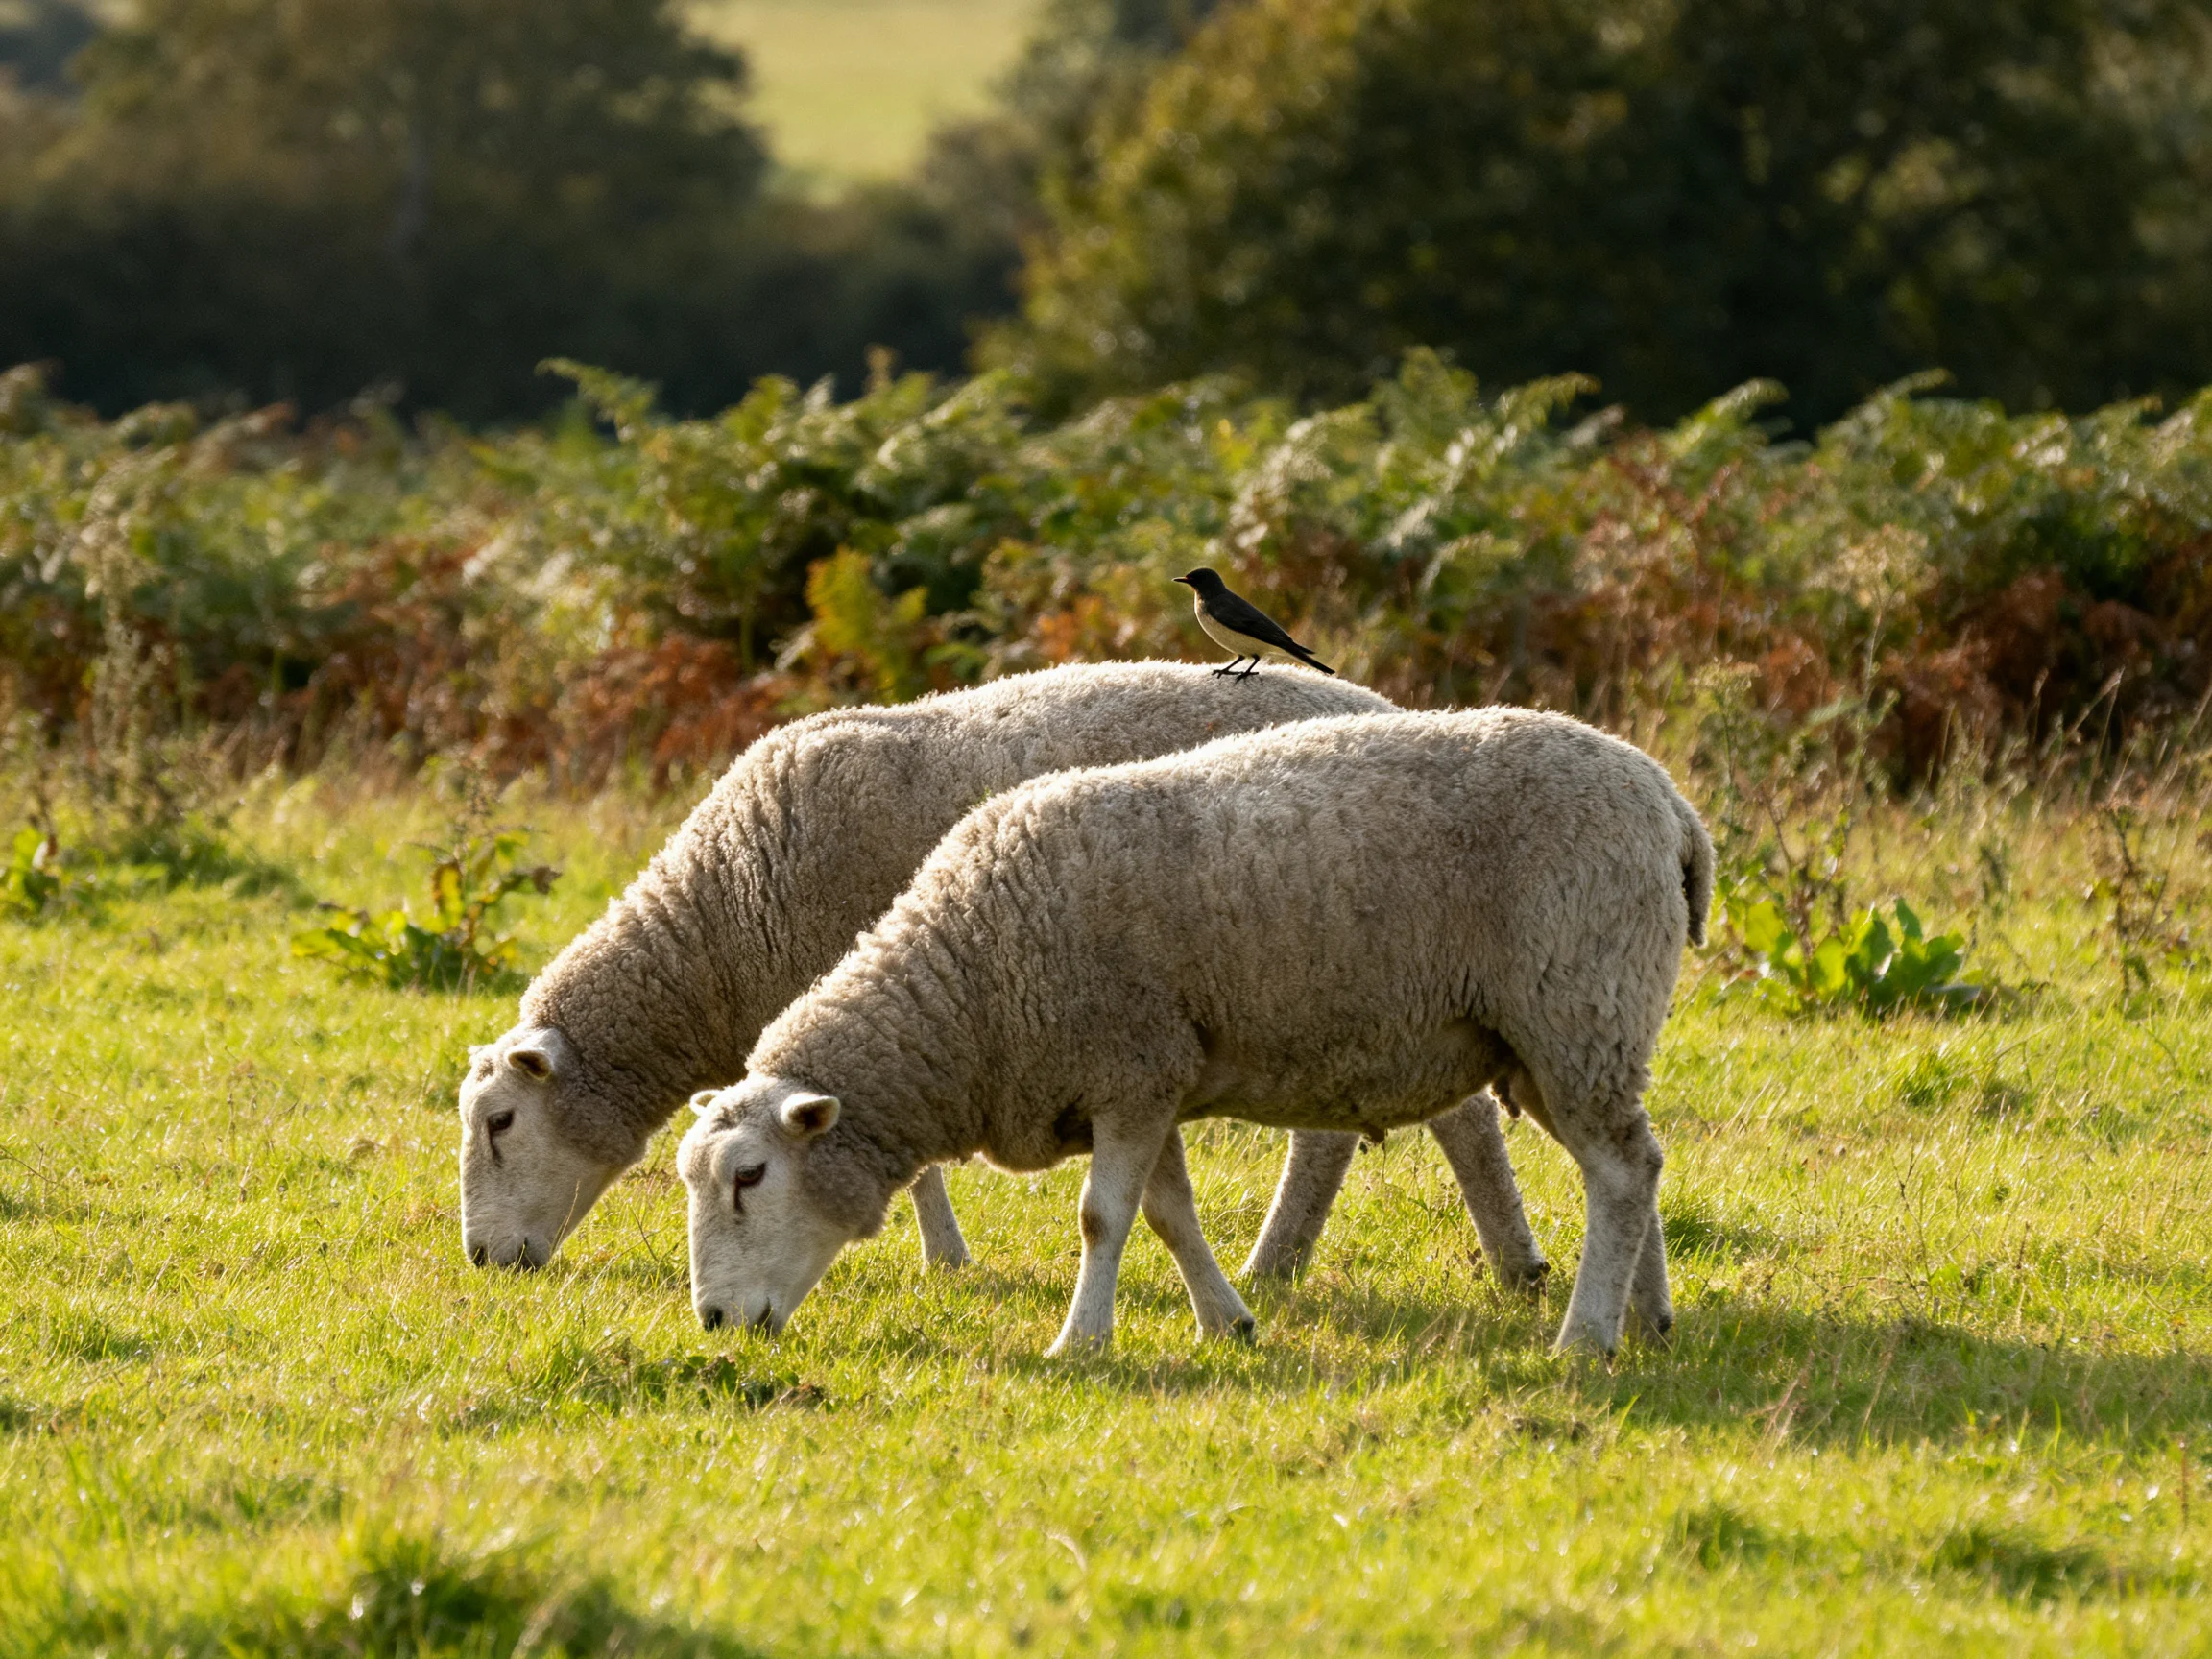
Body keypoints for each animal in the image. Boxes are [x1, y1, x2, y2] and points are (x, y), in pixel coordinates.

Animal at [458, 658, 1520, 1270]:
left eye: (501, 1121)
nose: (483, 1260)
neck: (721, 924)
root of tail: (1378, 700)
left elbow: (916, 1166)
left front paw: (944, 1259)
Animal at [680, 707, 1712, 1357]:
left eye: (749, 1177)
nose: (715, 1323)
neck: (971, 983)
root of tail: (1669, 803)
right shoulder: (1145, 1078)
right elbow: (1167, 1214)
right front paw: (1228, 1323)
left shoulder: (1130, 1068)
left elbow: (1102, 1218)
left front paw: (1079, 1343)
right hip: (1568, 1033)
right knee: (1633, 1164)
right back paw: (1646, 1319)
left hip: (1575, 1002)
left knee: (1620, 1171)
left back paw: (1584, 1339)